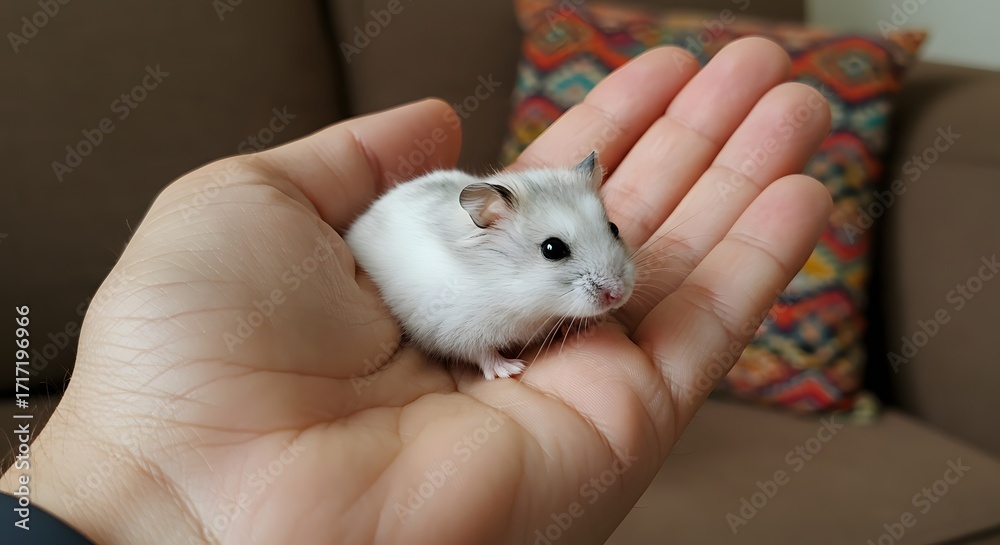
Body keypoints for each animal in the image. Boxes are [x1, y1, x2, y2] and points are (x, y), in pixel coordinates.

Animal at [344, 151, 635, 380]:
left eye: (614, 228)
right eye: (552, 249)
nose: (617, 295)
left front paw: (577, 326)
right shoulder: (455, 332)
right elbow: (482, 353)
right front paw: (510, 369)